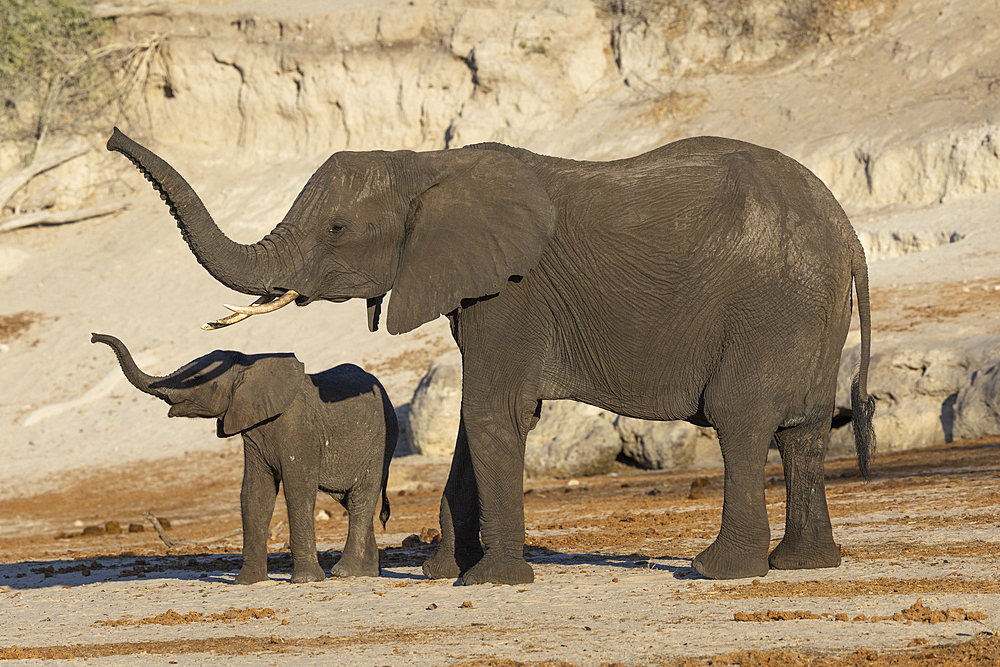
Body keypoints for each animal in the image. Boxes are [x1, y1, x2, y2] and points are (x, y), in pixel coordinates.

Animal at [93, 334, 398, 584]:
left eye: (197, 379)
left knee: (360, 500)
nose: (94, 337)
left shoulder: (299, 429)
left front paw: (306, 581)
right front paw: (247, 582)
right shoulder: (253, 432)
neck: (251, 365)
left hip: (379, 445)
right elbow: (254, 492)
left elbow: (297, 490)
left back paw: (344, 572)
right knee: (351, 501)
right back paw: (367, 573)